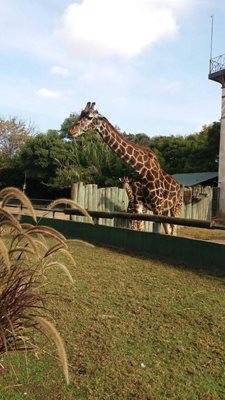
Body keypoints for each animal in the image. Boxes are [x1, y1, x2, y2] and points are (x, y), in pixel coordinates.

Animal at [70, 101, 183, 234]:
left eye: (89, 117)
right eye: (80, 114)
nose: (71, 131)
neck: (143, 170)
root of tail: (180, 187)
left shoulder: (158, 207)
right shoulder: (141, 207)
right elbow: (139, 228)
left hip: (176, 207)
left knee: (173, 230)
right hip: (166, 209)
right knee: (170, 229)